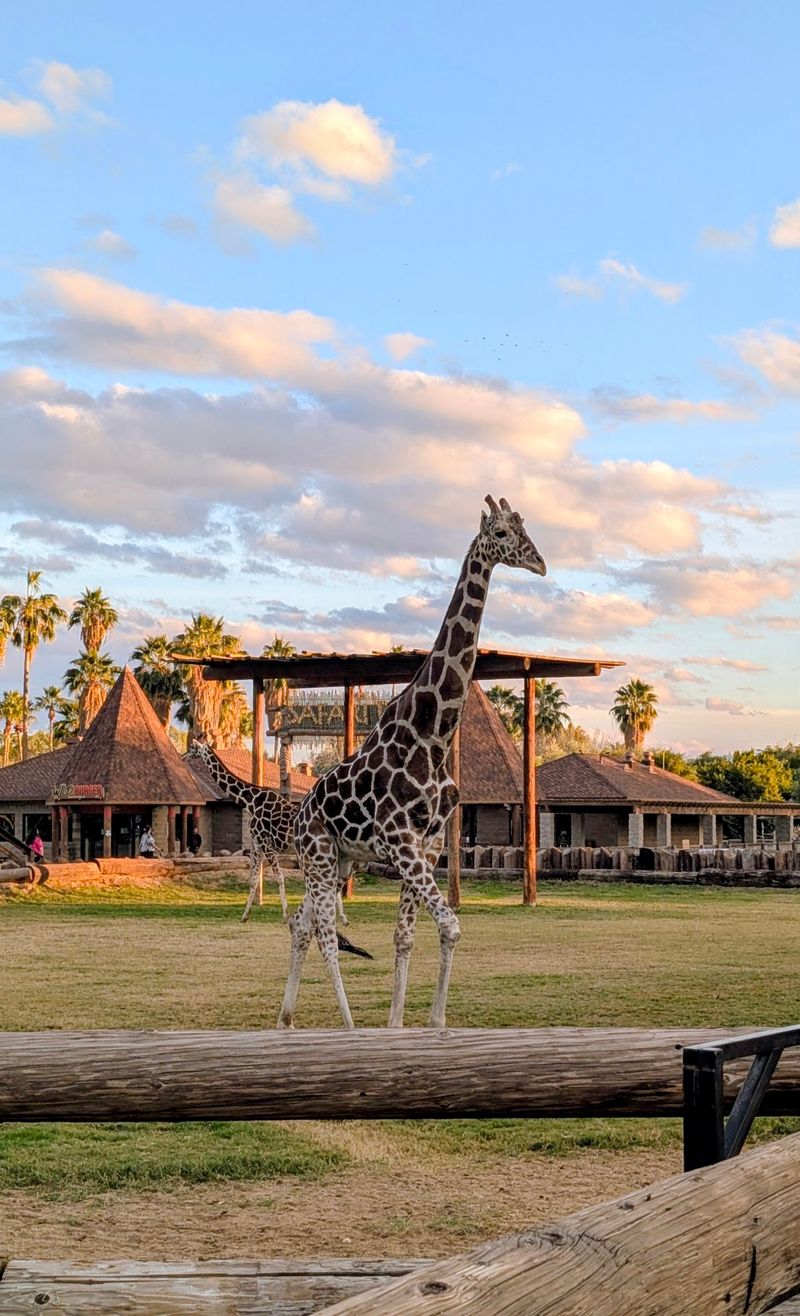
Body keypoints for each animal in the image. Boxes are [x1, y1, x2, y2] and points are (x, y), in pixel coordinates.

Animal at [277, 494, 546, 1030]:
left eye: (525, 528)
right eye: (502, 534)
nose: (541, 564)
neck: (434, 734)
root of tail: (299, 814)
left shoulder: (428, 844)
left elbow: (409, 935)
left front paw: (408, 1024)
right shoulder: (399, 841)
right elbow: (451, 925)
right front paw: (420, 1023)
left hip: (339, 861)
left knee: (300, 924)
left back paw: (286, 1020)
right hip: (318, 855)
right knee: (322, 932)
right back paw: (346, 1025)